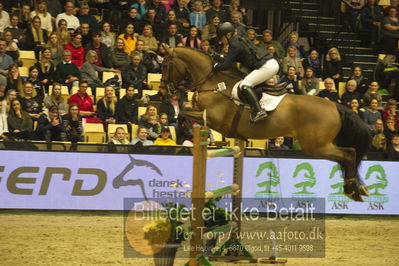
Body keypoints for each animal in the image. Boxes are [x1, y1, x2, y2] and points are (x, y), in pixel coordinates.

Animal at [159, 47, 372, 202]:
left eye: (166, 64)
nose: (162, 90)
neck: (214, 83)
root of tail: (334, 105)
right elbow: (184, 112)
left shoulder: (213, 119)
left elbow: (185, 113)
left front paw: (192, 130)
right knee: (348, 155)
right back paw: (357, 188)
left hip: (315, 146)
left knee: (348, 154)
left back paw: (352, 189)